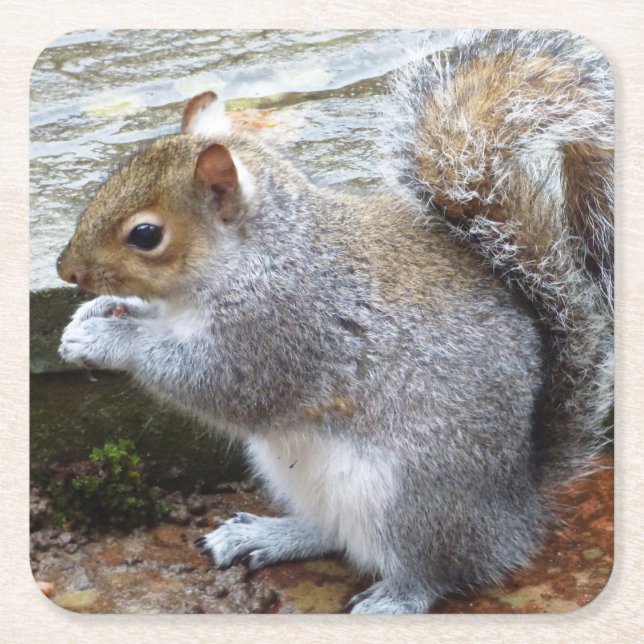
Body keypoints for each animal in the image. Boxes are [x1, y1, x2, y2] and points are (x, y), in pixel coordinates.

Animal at [57, 30, 613, 613]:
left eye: (145, 235)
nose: (64, 270)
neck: (253, 257)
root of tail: (518, 509)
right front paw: (89, 317)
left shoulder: (279, 328)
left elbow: (213, 382)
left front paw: (108, 337)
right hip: (294, 474)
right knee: (332, 533)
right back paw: (268, 534)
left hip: (411, 498)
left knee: (442, 567)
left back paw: (396, 597)